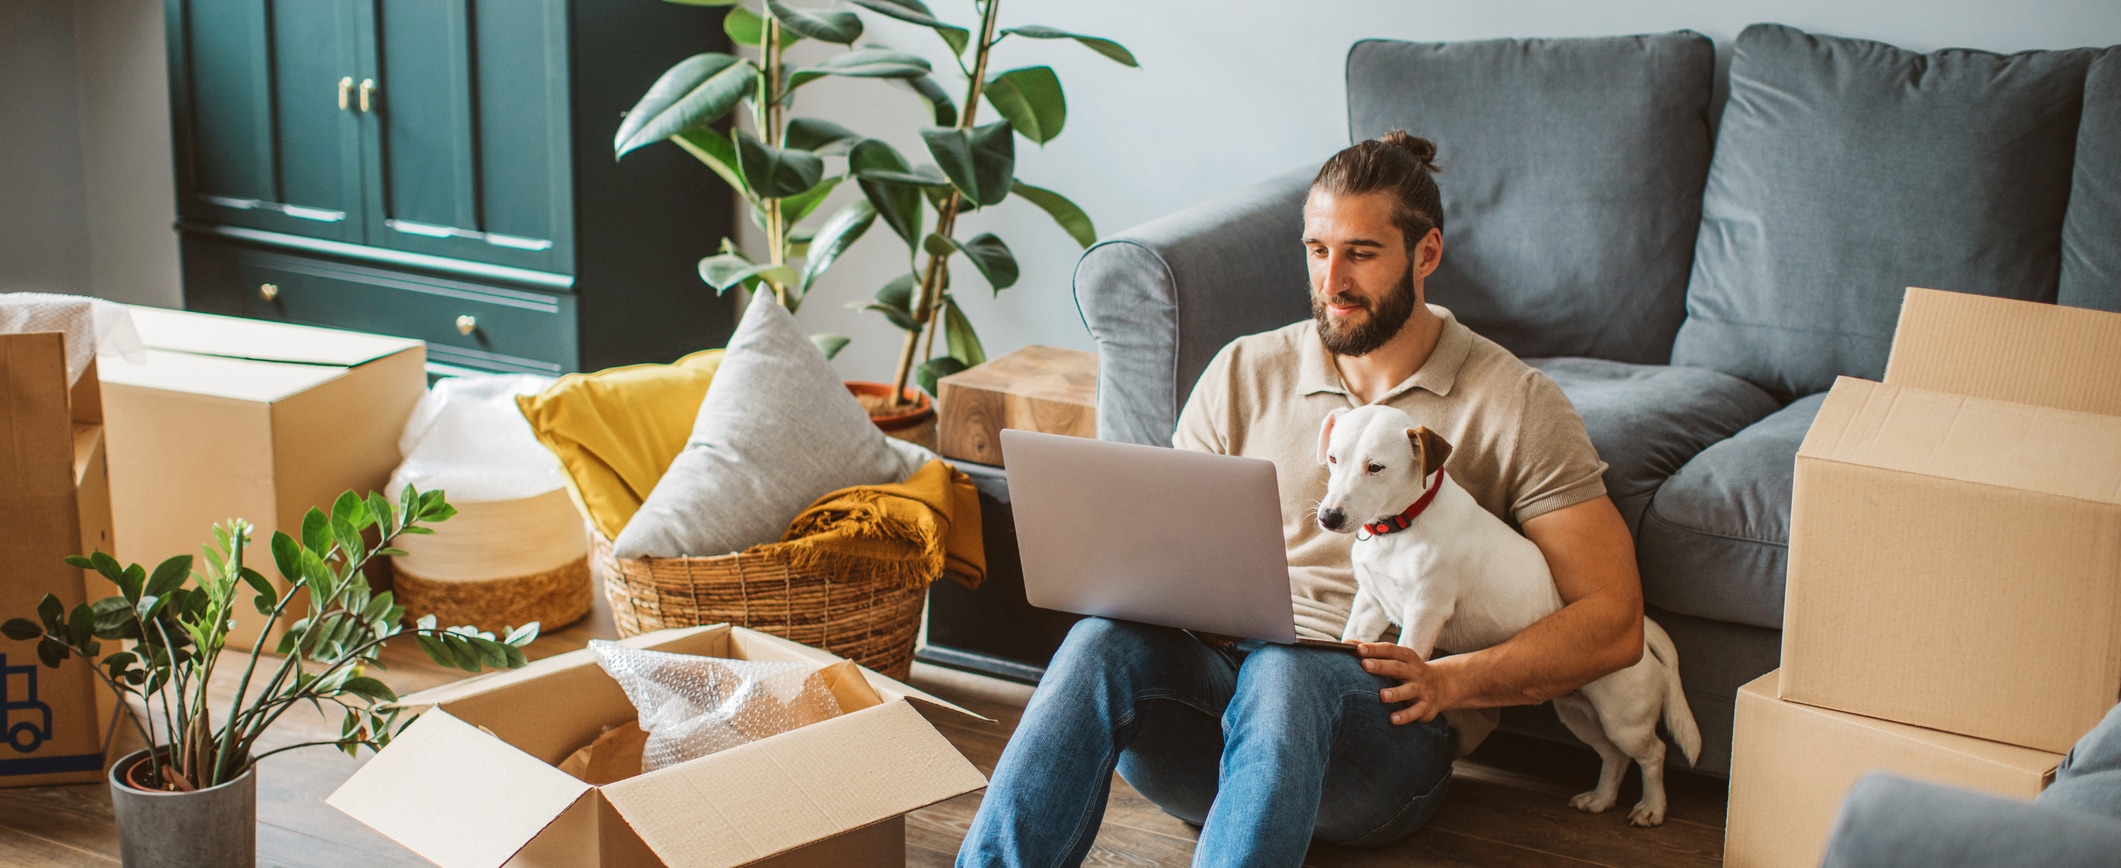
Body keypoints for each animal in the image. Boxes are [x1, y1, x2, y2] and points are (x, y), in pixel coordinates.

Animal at [1306, 405, 1705, 823]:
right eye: (1333, 459)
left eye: (1376, 467)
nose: (1329, 517)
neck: (1401, 525)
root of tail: (1643, 628)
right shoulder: (1369, 603)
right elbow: (1354, 636)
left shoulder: (1425, 610)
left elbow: (1410, 651)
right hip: (1579, 713)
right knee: (1614, 756)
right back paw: (1601, 798)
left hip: (1625, 718)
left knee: (1653, 754)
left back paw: (1652, 807)